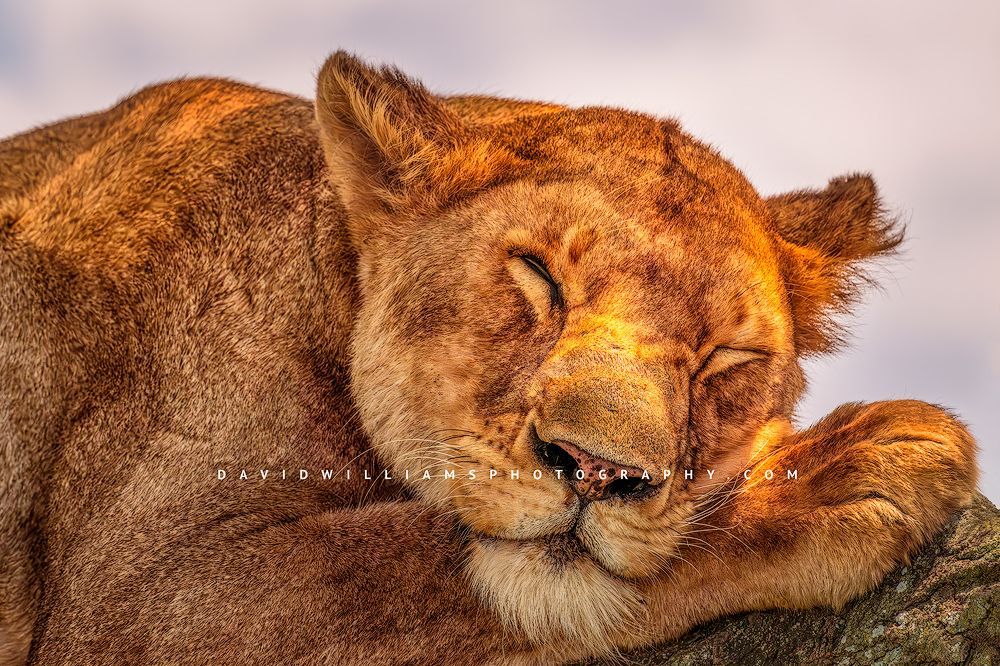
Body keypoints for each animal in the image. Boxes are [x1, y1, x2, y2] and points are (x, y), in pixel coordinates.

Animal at [0, 51, 978, 665]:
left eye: (725, 356)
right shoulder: (144, 594)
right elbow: (398, 564)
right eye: (539, 276)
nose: (597, 469)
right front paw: (838, 469)